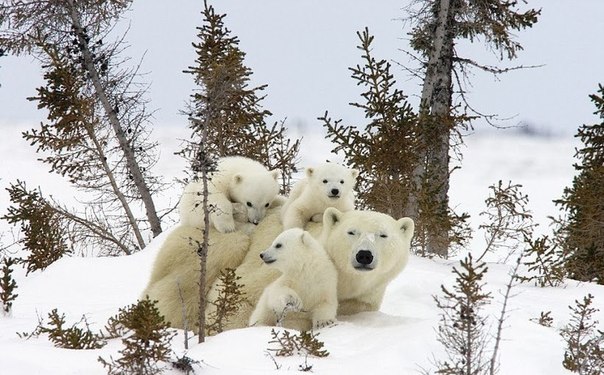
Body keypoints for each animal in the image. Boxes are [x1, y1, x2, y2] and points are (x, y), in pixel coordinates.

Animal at [144, 207, 412, 334]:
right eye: (351, 232)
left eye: (383, 235)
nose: (364, 255)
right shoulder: (279, 267)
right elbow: (244, 293)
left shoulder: (365, 297)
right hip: (207, 243)